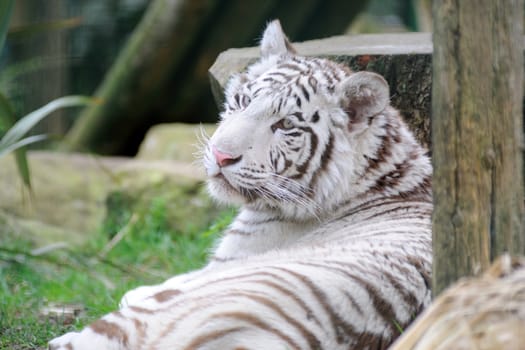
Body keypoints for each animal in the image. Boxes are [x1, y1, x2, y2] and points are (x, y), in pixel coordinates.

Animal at [51, 19, 432, 350]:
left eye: (286, 125)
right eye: (245, 101)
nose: (221, 156)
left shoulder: (223, 262)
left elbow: (168, 282)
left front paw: (139, 288)